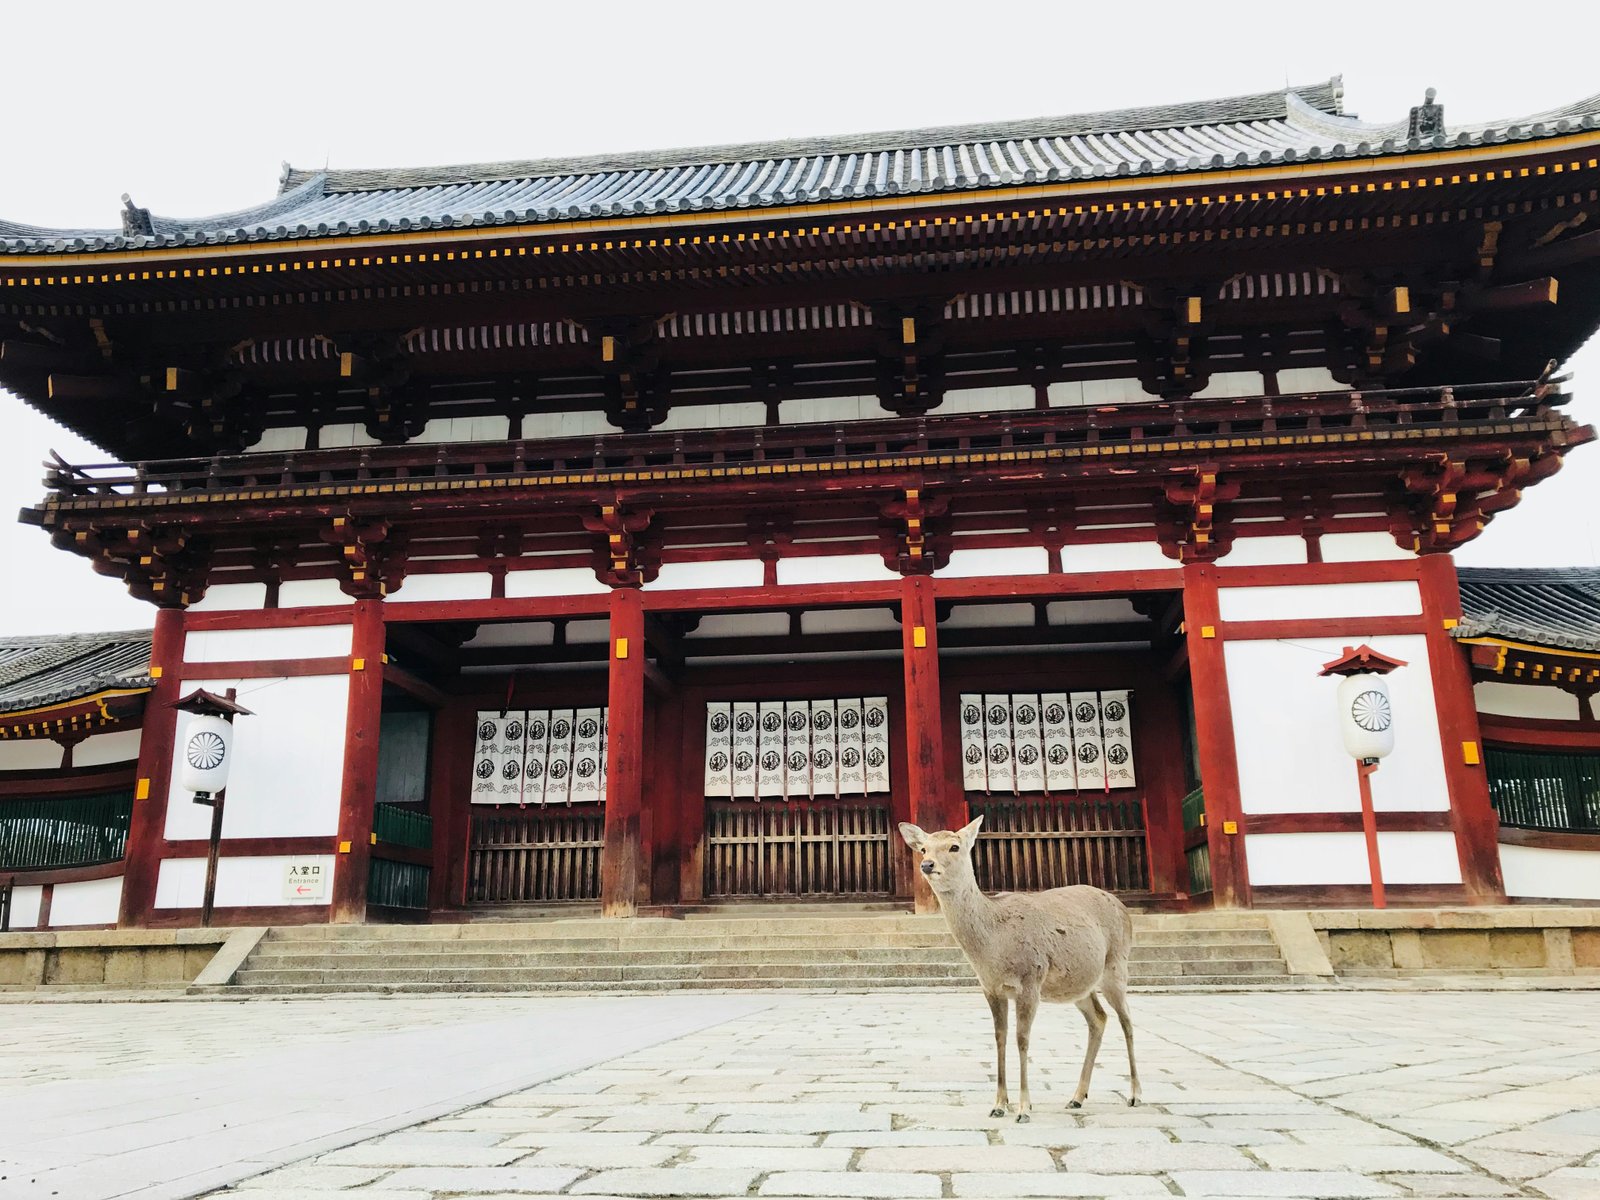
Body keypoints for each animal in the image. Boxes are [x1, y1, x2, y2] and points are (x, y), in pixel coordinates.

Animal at [898, 815, 1140, 1122]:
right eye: (923, 849)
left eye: (954, 846)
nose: (927, 865)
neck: (993, 948)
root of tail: (1124, 908)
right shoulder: (990, 988)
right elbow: (999, 1038)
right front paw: (999, 1105)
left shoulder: (1030, 980)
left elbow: (1021, 1039)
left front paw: (1024, 1108)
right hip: (1080, 985)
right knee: (1099, 1018)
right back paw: (1076, 1097)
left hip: (1117, 965)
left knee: (1127, 1020)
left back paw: (1135, 1094)